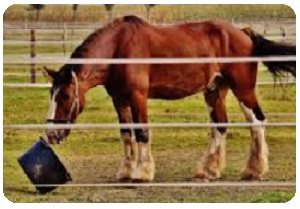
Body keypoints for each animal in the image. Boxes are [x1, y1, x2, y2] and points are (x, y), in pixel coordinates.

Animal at [44, 15, 296, 181]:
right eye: (51, 94)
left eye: (65, 95)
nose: (51, 134)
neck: (118, 48)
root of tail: (243, 33)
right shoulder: (120, 99)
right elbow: (126, 135)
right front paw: (126, 171)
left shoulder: (138, 96)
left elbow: (142, 133)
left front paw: (142, 173)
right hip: (215, 90)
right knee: (220, 126)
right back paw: (208, 171)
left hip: (242, 89)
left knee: (256, 122)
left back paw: (254, 170)